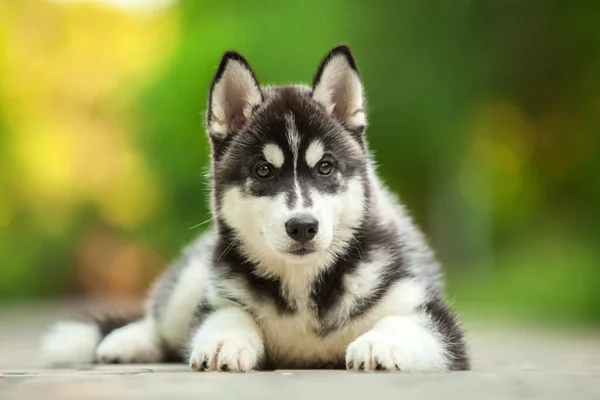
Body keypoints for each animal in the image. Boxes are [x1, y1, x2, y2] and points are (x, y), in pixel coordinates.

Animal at [43, 46, 474, 372]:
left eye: (325, 167)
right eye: (263, 170)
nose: (303, 226)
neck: (302, 284)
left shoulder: (425, 309)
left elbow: (406, 324)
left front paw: (379, 344)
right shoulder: (219, 295)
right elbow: (226, 315)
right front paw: (225, 342)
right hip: (194, 276)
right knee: (161, 320)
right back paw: (127, 341)